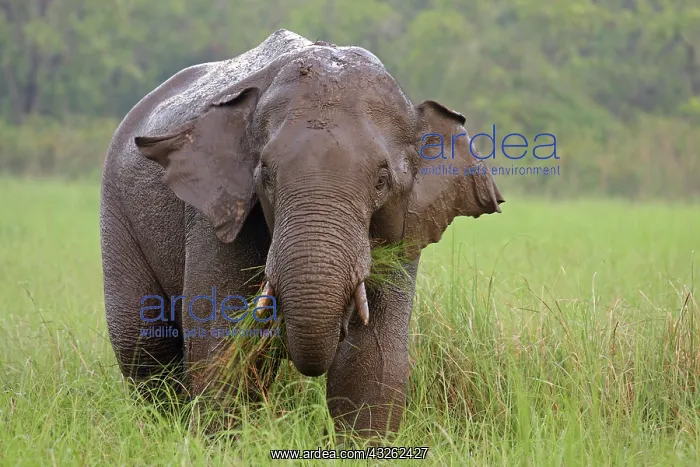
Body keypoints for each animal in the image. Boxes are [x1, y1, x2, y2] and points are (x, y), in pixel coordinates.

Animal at [100, 29, 504, 437]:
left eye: (381, 180)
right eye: (265, 175)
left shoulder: (403, 227)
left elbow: (372, 359)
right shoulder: (214, 216)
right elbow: (220, 340)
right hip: (115, 210)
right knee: (143, 343)